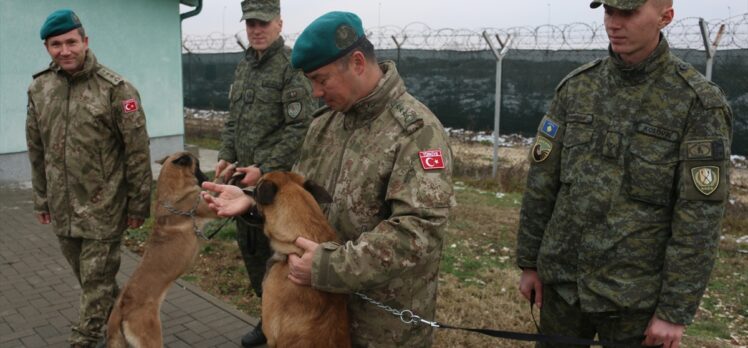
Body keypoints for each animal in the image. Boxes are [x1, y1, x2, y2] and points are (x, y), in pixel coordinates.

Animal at [108, 152, 219, 348]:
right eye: (198, 166)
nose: (206, 179)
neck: (171, 197)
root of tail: (122, 310)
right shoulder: (207, 207)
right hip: (153, 338)